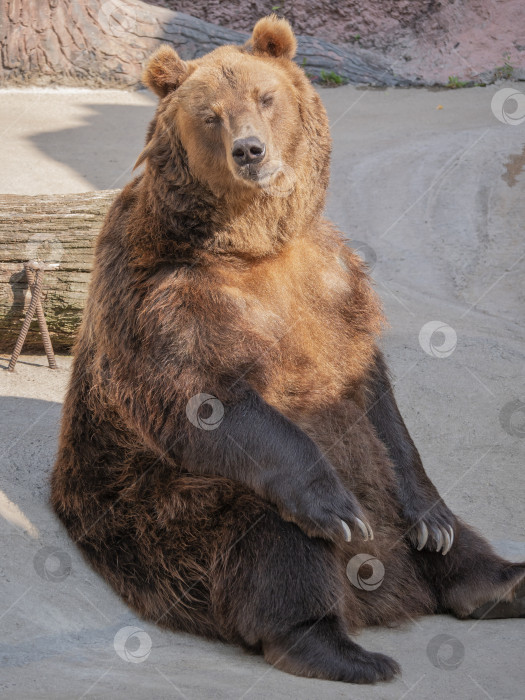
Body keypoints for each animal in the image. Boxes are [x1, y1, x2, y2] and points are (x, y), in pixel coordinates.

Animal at [50, 15, 524, 684]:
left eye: (266, 97)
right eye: (211, 115)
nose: (250, 150)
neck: (250, 243)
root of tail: (384, 596)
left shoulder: (332, 280)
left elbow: (371, 392)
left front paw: (430, 519)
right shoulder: (162, 291)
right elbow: (205, 397)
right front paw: (335, 507)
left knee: (448, 532)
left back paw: (498, 578)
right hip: (162, 517)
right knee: (266, 535)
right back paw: (340, 648)